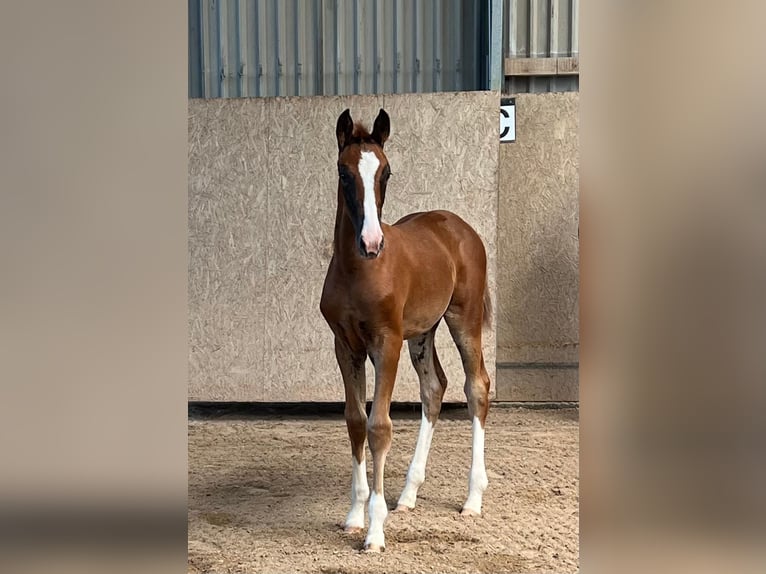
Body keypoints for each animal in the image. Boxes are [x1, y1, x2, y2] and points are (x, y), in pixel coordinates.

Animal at [320, 108, 492, 552]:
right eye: (343, 172)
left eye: (387, 172)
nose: (371, 242)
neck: (359, 270)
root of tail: (459, 226)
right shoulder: (345, 346)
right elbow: (355, 421)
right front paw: (354, 516)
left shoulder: (387, 342)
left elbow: (379, 426)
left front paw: (375, 532)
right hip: (422, 332)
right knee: (434, 387)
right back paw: (409, 494)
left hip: (462, 319)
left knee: (476, 386)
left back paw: (472, 498)